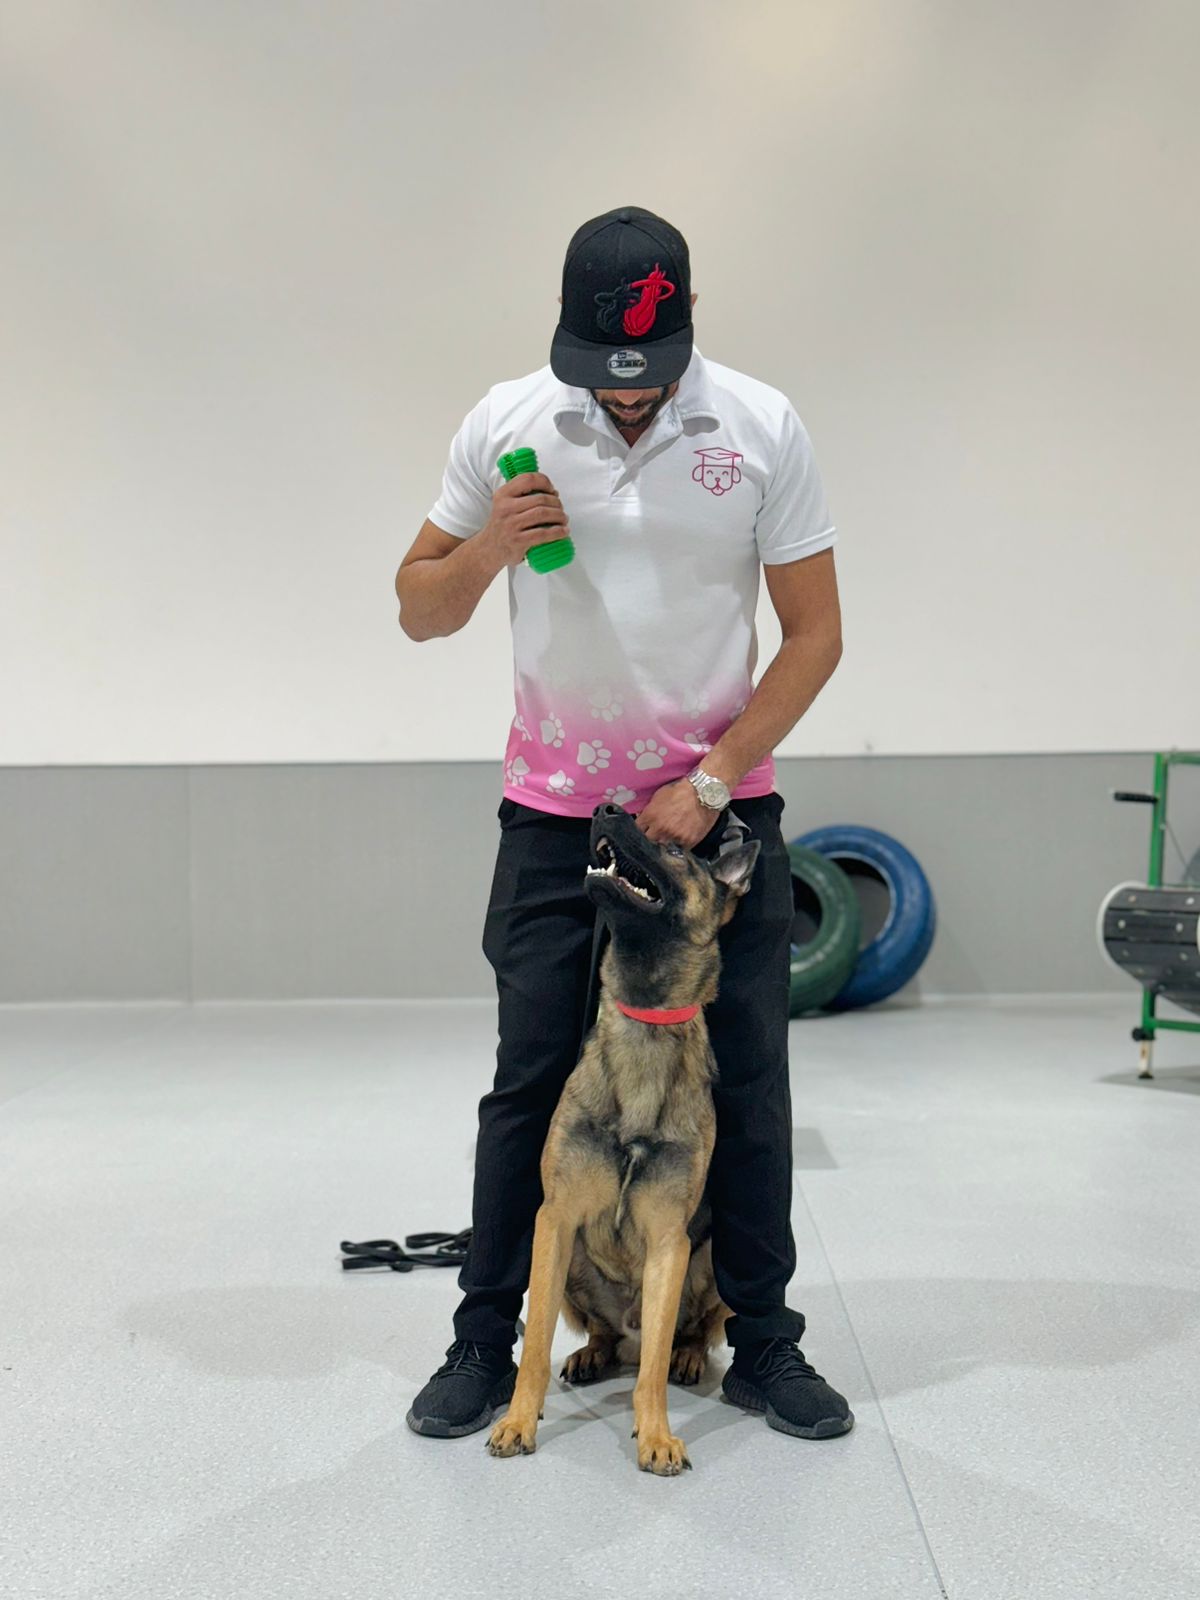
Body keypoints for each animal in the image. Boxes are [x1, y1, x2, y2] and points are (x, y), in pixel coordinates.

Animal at [486, 800, 761, 1472]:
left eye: (678, 851)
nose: (607, 807)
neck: (645, 1017)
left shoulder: (669, 1242)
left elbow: (653, 1367)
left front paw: (656, 1432)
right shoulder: (555, 1220)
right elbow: (532, 1349)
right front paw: (518, 1420)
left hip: (714, 1259)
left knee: (678, 1337)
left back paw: (687, 1355)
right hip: (566, 1265)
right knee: (606, 1335)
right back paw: (592, 1353)